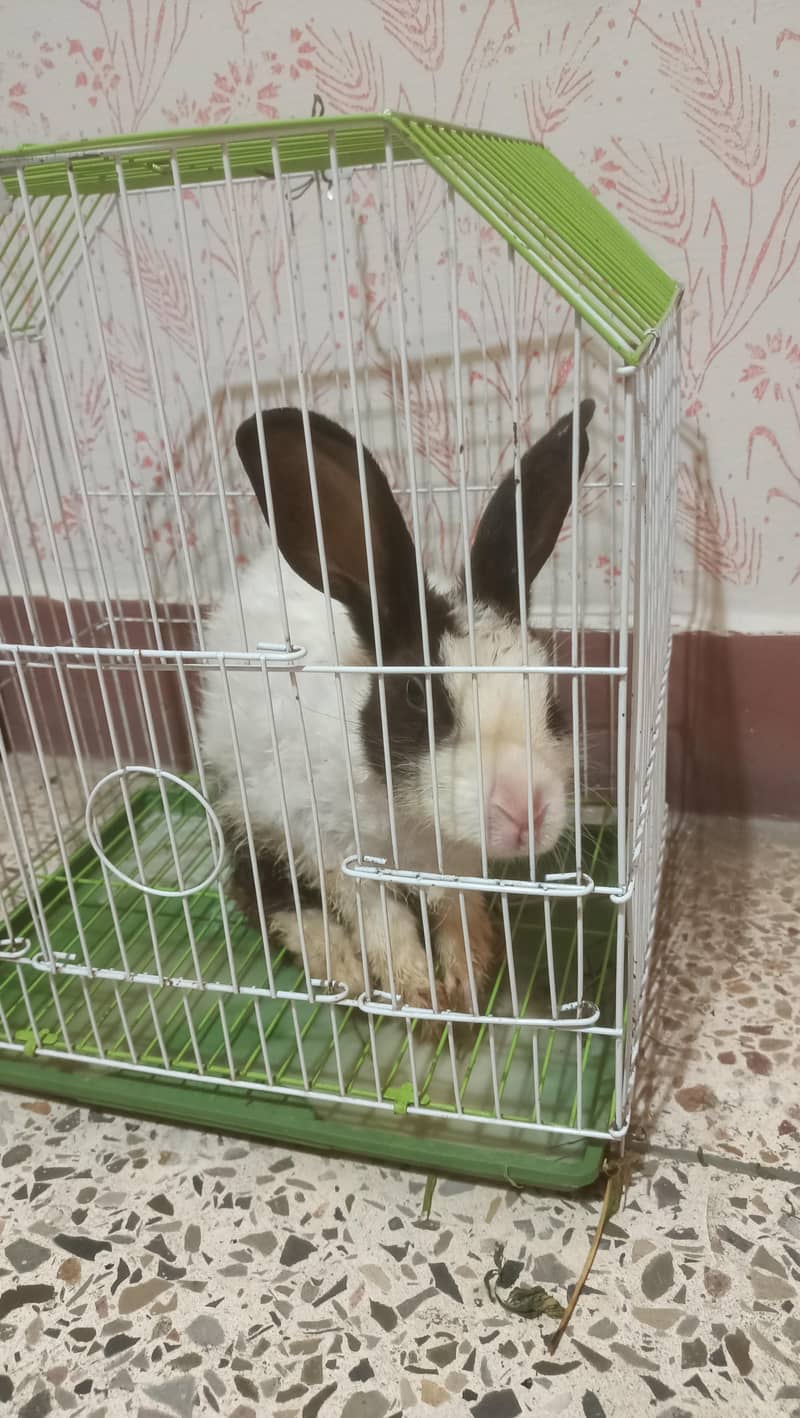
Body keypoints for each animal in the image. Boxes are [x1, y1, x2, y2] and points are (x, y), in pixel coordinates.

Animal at [198, 397, 595, 1024]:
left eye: (553, 701)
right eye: (417, 696)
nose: (525, 813)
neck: (416, 821)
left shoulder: (458, 866)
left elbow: (457, 915)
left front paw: (467, 982)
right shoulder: (336, 851)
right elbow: (383, 923)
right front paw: (415, 991)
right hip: (247, 808)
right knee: (260, 889)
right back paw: (341, 968)